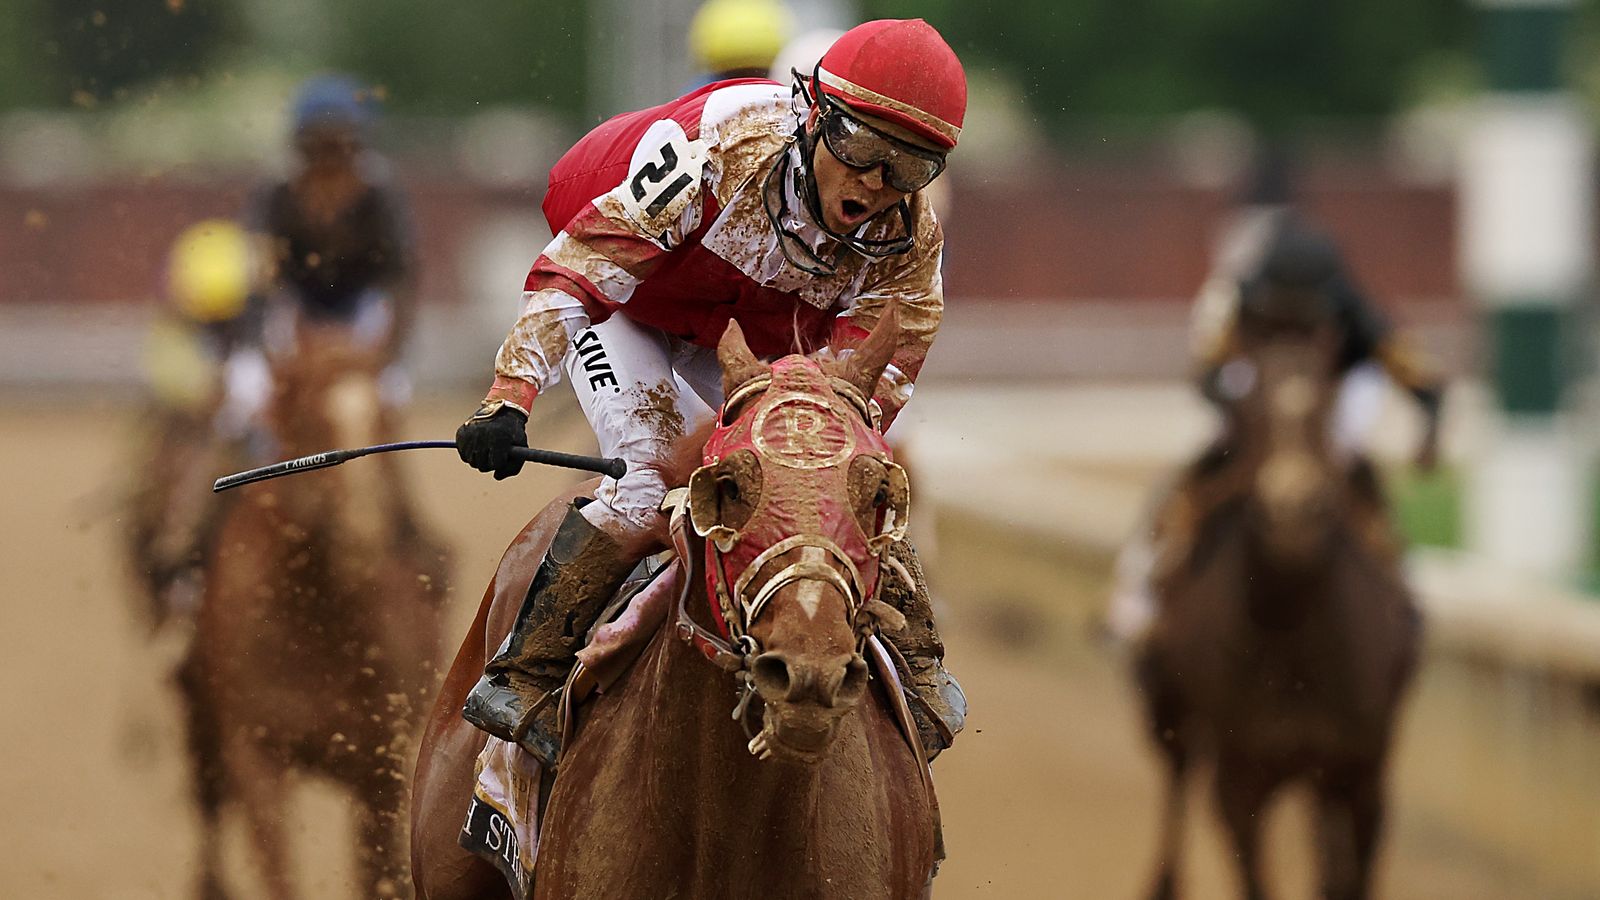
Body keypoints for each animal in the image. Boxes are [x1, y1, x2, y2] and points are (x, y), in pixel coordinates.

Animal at [184, 321, 454, 896]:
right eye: (308, 419)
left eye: (386, 420)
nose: (363, 531)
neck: (315, 625)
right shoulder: (254, 755)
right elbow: (277, 869)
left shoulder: (379, 761)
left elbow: (379, 872)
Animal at [1132, 302, 1420, 896]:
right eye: (1249, 404)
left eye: (1328, 403)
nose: (1293, 506)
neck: (1297, 645)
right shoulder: (1242, 779)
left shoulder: (1363, 775)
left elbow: (1351, 874)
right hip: (1167, 712)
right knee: (1176, 782)